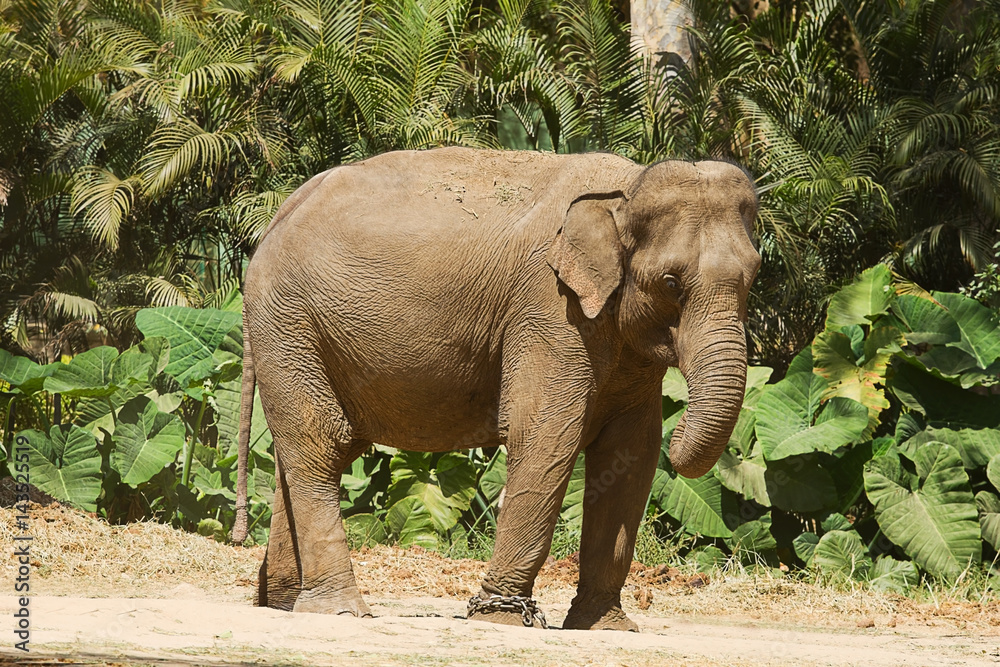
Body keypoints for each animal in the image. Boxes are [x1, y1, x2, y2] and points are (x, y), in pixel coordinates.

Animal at [231, 146, 759, 631]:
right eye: (671, 282)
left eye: (753, 277)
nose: (682, 426)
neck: (627, 188)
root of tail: (281, 212)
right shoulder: (550, 311)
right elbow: (546, 437)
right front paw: (501, 618)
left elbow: (631, 455)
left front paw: (606, 627)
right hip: (289, 321)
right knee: (319, 445)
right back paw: (339, 611)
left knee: (309, 454)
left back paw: (282, 604)